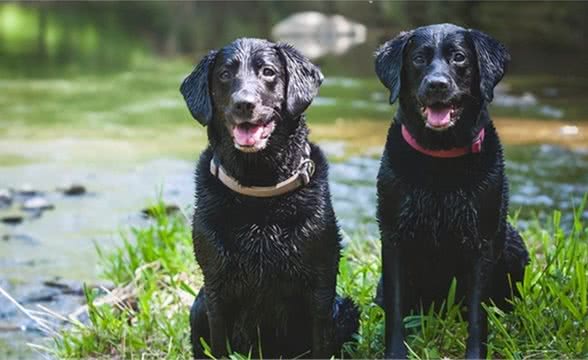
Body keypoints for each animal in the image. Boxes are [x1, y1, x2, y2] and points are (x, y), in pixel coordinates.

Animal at [179, 38, 358, 358]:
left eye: (268, 72)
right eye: (224, 74)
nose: (244, 103)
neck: (259, 190)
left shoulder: (321, 287)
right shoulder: (215, 288)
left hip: (345, 309)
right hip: (198, 306)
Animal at [374, 23, 532, 358]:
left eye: (459, 57)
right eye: (419, 58)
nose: (437, 85)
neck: (440, 159)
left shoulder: (482, 241)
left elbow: (477, 315)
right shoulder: (393, 238)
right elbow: (396, 309)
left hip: (513, 245)